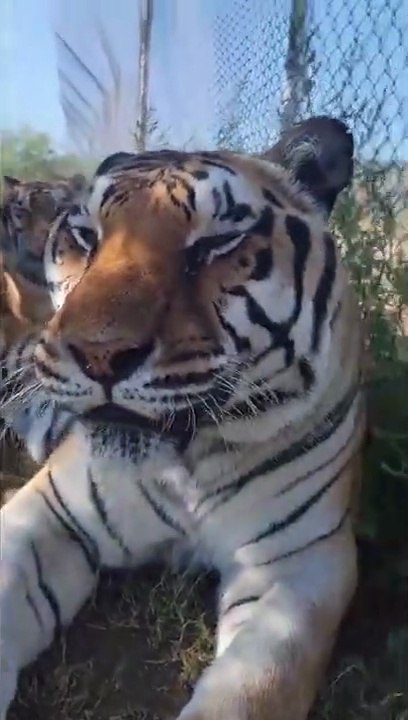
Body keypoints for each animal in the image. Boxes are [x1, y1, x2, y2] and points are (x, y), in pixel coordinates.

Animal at [0, 116, 366, 720]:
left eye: (216, 243)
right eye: (85, 237)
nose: (100, 354)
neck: (186, 469)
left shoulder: (299, 566)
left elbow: (250, 692)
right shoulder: (49, 511)